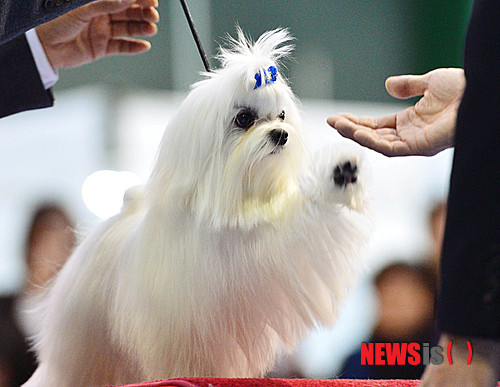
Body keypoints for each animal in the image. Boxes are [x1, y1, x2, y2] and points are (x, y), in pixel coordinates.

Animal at [26, 28, 372, 386]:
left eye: (281, 116)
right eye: (244, 118)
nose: (280, 134)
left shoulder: (278, 243)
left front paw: (340, 174)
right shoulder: (180, 319)